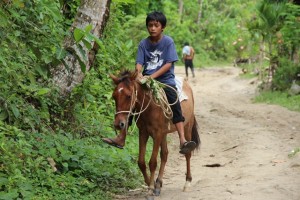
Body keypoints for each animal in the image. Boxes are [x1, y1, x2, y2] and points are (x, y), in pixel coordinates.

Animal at [109, 69, 199, 198]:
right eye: (114, 96)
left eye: (129, 96)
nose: (118, 124)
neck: (150, 105)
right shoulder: (144, 133)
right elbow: (141, 162)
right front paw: (149, 184)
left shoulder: (157, 134)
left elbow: (152, 162)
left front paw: (151, 188)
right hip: (164, 133)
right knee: (165, 154)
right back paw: (158, 183)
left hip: (187, 126)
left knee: (187, 153)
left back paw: (187, 182)